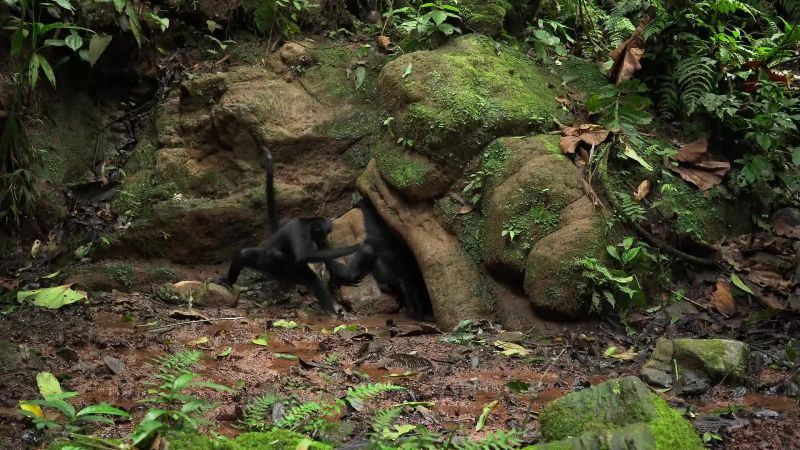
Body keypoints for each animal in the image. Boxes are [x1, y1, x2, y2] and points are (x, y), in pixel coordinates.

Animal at [212, 138, 360, 313]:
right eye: (322, 232)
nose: (323, 237)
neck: (307, 223)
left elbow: (325, 254)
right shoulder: (299, 230)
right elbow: (304, 255)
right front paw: (353, 248)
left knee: (244, 254)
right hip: (267, 261)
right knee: (295, 268)